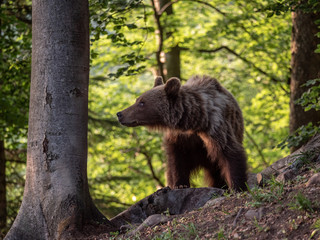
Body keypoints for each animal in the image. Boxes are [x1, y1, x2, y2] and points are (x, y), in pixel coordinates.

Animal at [117, 75, 248, 191]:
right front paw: (180, 184)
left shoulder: (216, 126)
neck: (194, 122)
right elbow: (177, 161)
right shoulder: (179, 138)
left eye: (142, 102)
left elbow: (230, 153)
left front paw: (238, 187)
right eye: (137, 100)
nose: (120, 114)